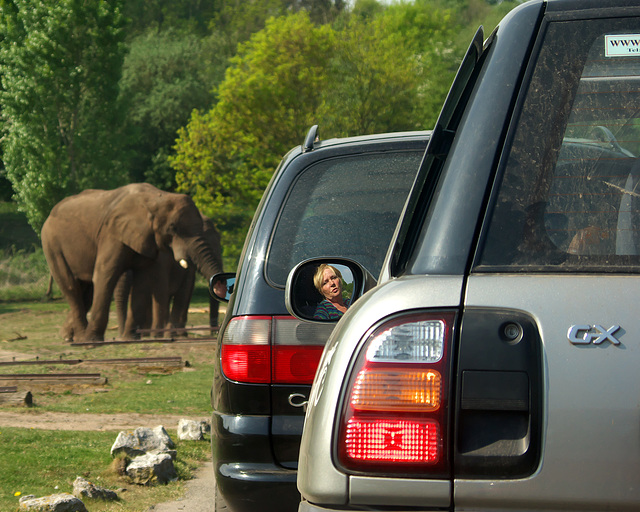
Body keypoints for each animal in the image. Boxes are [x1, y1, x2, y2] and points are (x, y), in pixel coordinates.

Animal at [40, 182, 225, 342]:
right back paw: (80, 339)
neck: (156, 198)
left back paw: (69, 336)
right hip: (52, 245)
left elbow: (142, 282)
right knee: (71, 286)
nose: (216, 334)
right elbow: (105, 274)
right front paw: (93, 341)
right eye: (172, 227)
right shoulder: (111, 234)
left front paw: (130, 338)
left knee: (86, 290)